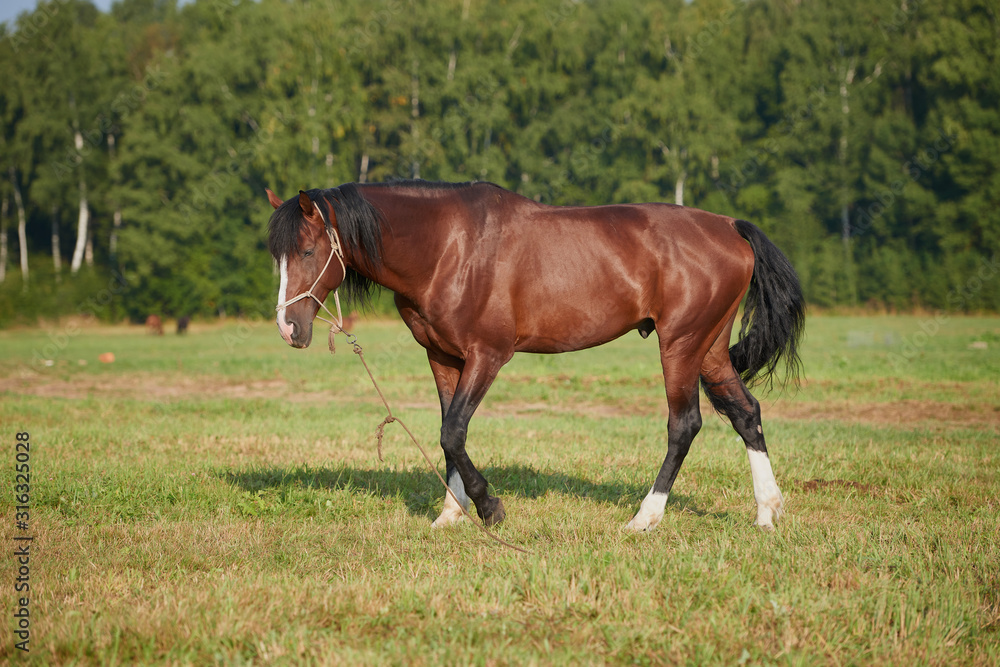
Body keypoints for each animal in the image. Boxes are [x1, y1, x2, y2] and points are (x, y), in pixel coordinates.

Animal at [266, 181, 804, 532]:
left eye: (309, 251)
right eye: (278, 255)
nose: (289, 328)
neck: (448, 247)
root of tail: (730, 227)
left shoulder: (488, 355)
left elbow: (453, 430)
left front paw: (489, 508)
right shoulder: (442, 356)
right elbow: (447, 435)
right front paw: (450, 513)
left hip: (681, 344)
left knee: (684, 424)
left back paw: (645, 518)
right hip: (709, 347)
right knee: (745, 413)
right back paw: (767, 512)